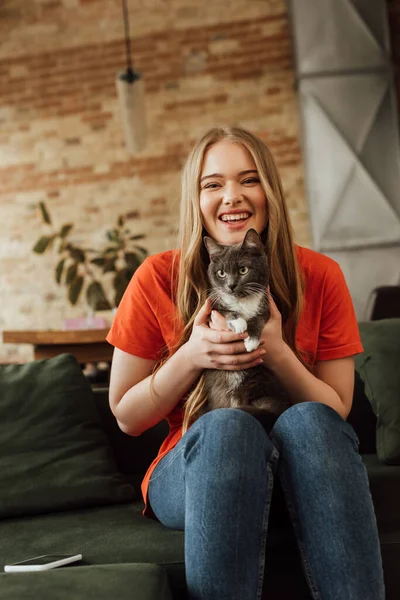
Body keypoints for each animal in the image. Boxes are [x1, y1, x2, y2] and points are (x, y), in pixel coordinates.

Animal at [199, 229, 290, 432]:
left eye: (243, 270)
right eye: (221, 273)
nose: (231, 285)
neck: (242, 300)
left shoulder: (266, 307)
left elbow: (258, 318)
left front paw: (251, 341)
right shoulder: (213, 309)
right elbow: (227, 311)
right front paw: (240, 323)